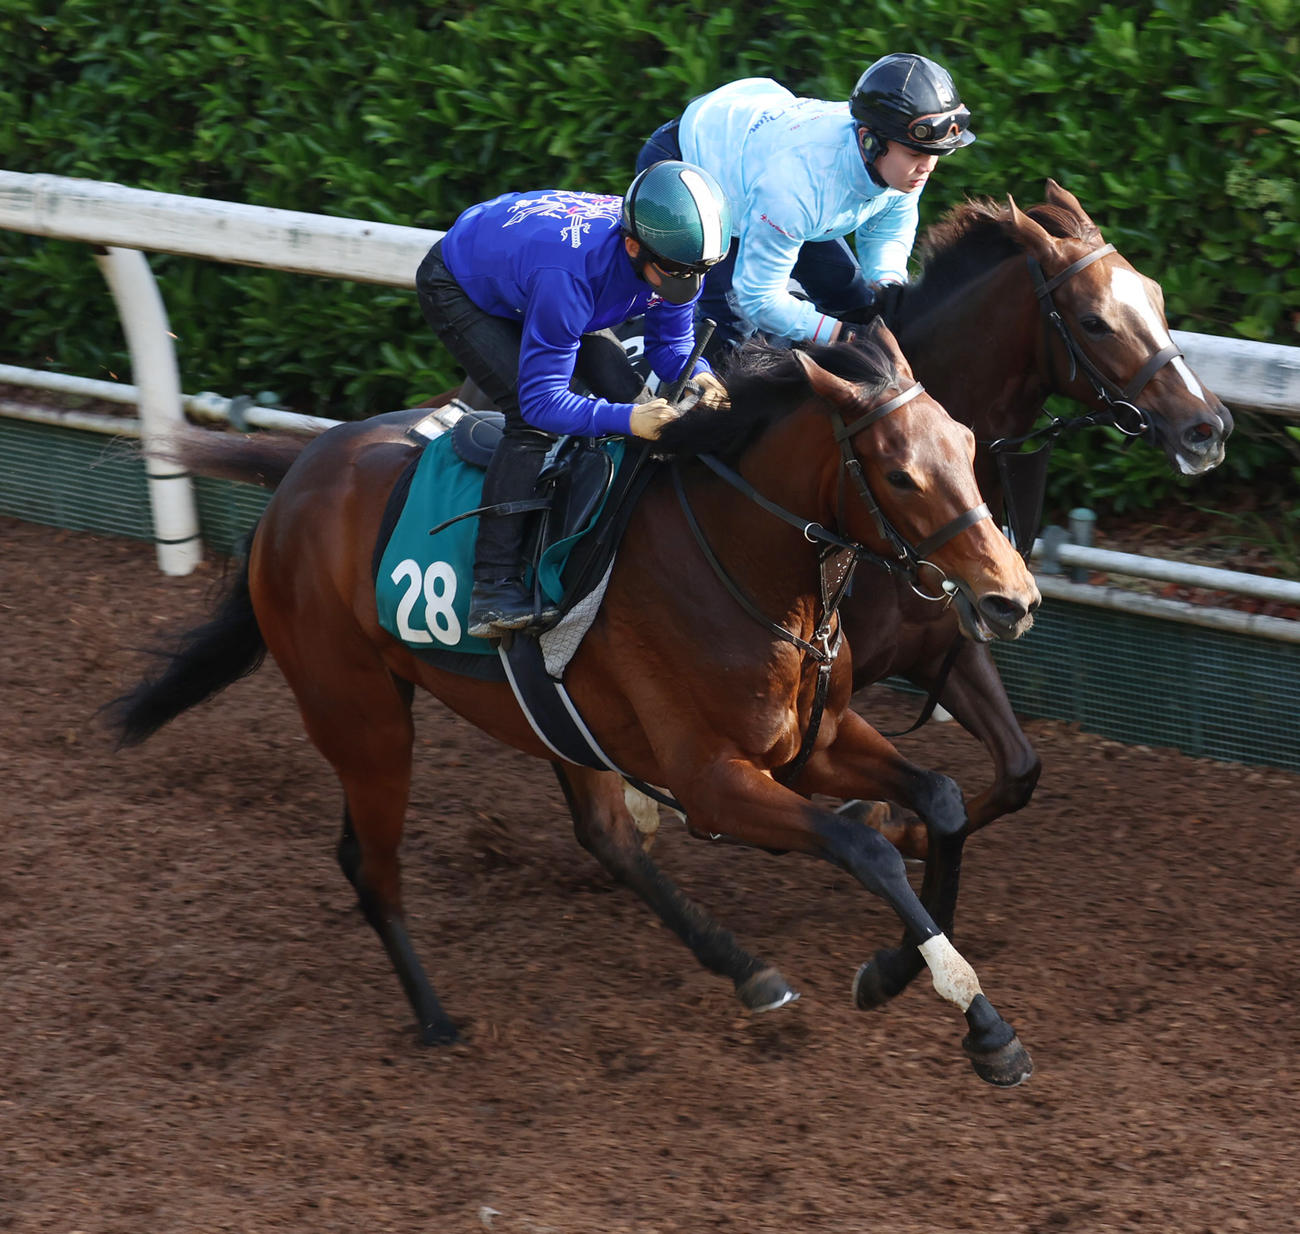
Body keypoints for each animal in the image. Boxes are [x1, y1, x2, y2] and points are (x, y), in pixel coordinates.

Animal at [113, 326, 1043, 1085]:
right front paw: (980, 1021)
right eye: (899, 473)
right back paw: (437, 1019)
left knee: (604, 838)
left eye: (966, 442)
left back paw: (745, 969)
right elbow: (866, 847)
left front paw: (899, 973)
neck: (744, 562)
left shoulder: (814, 742)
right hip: (363, 717)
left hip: (555, 720)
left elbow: (942, 801)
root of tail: (296, 480)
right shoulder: (715, 780)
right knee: (371, 865)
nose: (1012, 599)